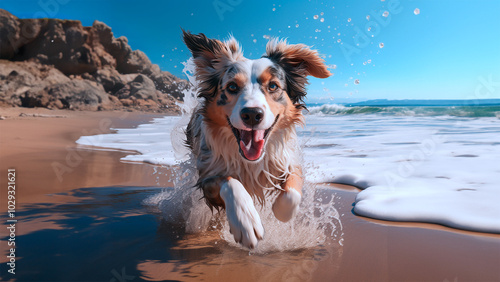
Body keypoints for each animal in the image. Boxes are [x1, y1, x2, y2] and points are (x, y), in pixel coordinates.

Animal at [182, 29, 330, 248]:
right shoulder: (208, 174)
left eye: (273, 86)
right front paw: (245, 222)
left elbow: (292, 191)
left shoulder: (286, 160)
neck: (249, 162)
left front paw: (280, 211)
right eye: (232, 87)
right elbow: (231, 182)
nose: (252, 114)